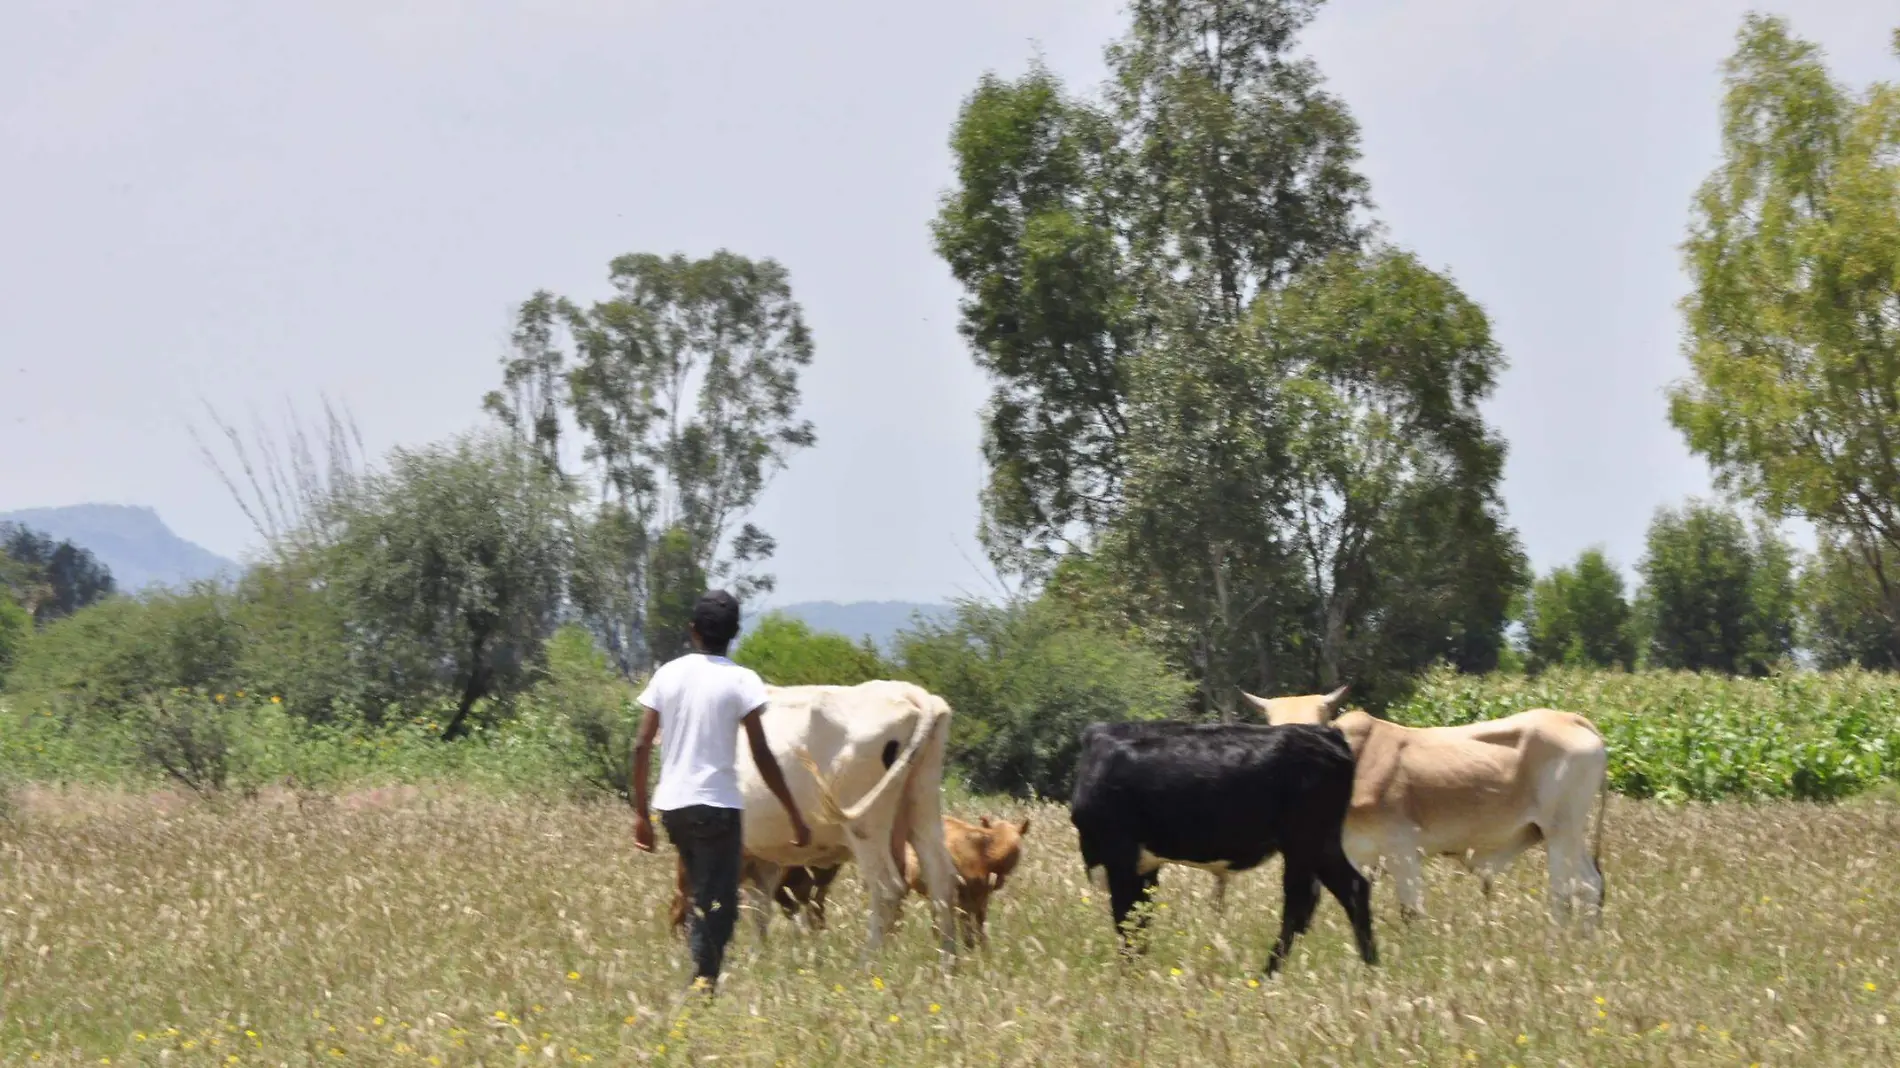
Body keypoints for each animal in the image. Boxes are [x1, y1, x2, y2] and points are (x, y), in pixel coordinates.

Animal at [729, 676, 957, 961]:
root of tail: (910, 692)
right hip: (922, 805)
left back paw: (870, 962)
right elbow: (759, 907)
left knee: (887, 889)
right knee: (941, 883)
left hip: (864, 825)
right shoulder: (763, 855)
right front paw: (757, 959)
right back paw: (948, 963)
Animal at [1079, 714, 1375, 972]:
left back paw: (1269, 974)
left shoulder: (1120, 859)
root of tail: (1326, 733)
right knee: (1345, 891)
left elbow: (1126, 921)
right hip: (1319, 843)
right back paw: (1370, 970)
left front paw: (1129, 977)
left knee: (1305, 900)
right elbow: (1140, 920)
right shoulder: (1144, 866)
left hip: (1305, 839)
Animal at [1254, 680, 1611, 923]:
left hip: (1560, 832)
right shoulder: (1357, 853)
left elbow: (1411, 910)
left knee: (1566, 891)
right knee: (1590, 886)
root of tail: (1574, 720)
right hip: (1568, 835)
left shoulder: (1402, 849)